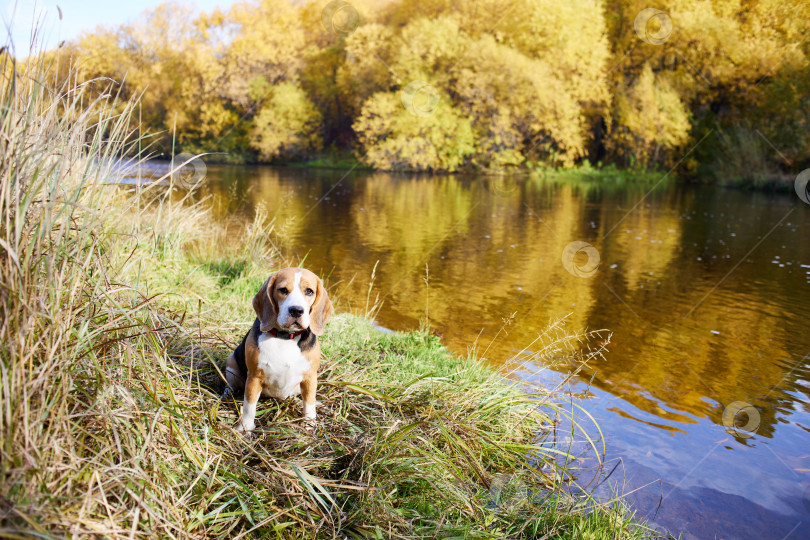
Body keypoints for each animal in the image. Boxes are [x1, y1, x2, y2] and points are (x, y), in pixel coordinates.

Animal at [221, 268, 332, 432]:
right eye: (283, 290)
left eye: (309, 291)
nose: (296, 311)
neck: (285, 337)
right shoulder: (254, 376)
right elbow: (249, 406)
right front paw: (245, 427)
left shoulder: (310, 377)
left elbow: (309, 403)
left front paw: (309, 424)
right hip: (231, 365)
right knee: (230, 385)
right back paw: (227, 395)